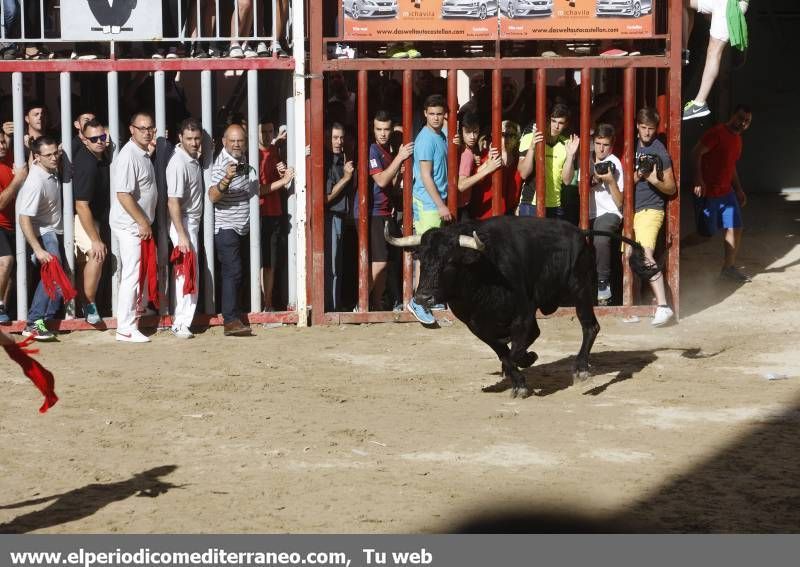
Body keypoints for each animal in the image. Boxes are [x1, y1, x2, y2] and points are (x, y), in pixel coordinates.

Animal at [386, 216, 656, 400]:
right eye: (422, 259)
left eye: (451, 261)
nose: (424, 297)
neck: (483, 272)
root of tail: (580, 231)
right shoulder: (476, 325)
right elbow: (503, 352)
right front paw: (518, 379)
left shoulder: (524, 314)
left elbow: (513, 353)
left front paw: (525, 368)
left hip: (580, 291)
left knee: (590, 326)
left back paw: (580, 369)